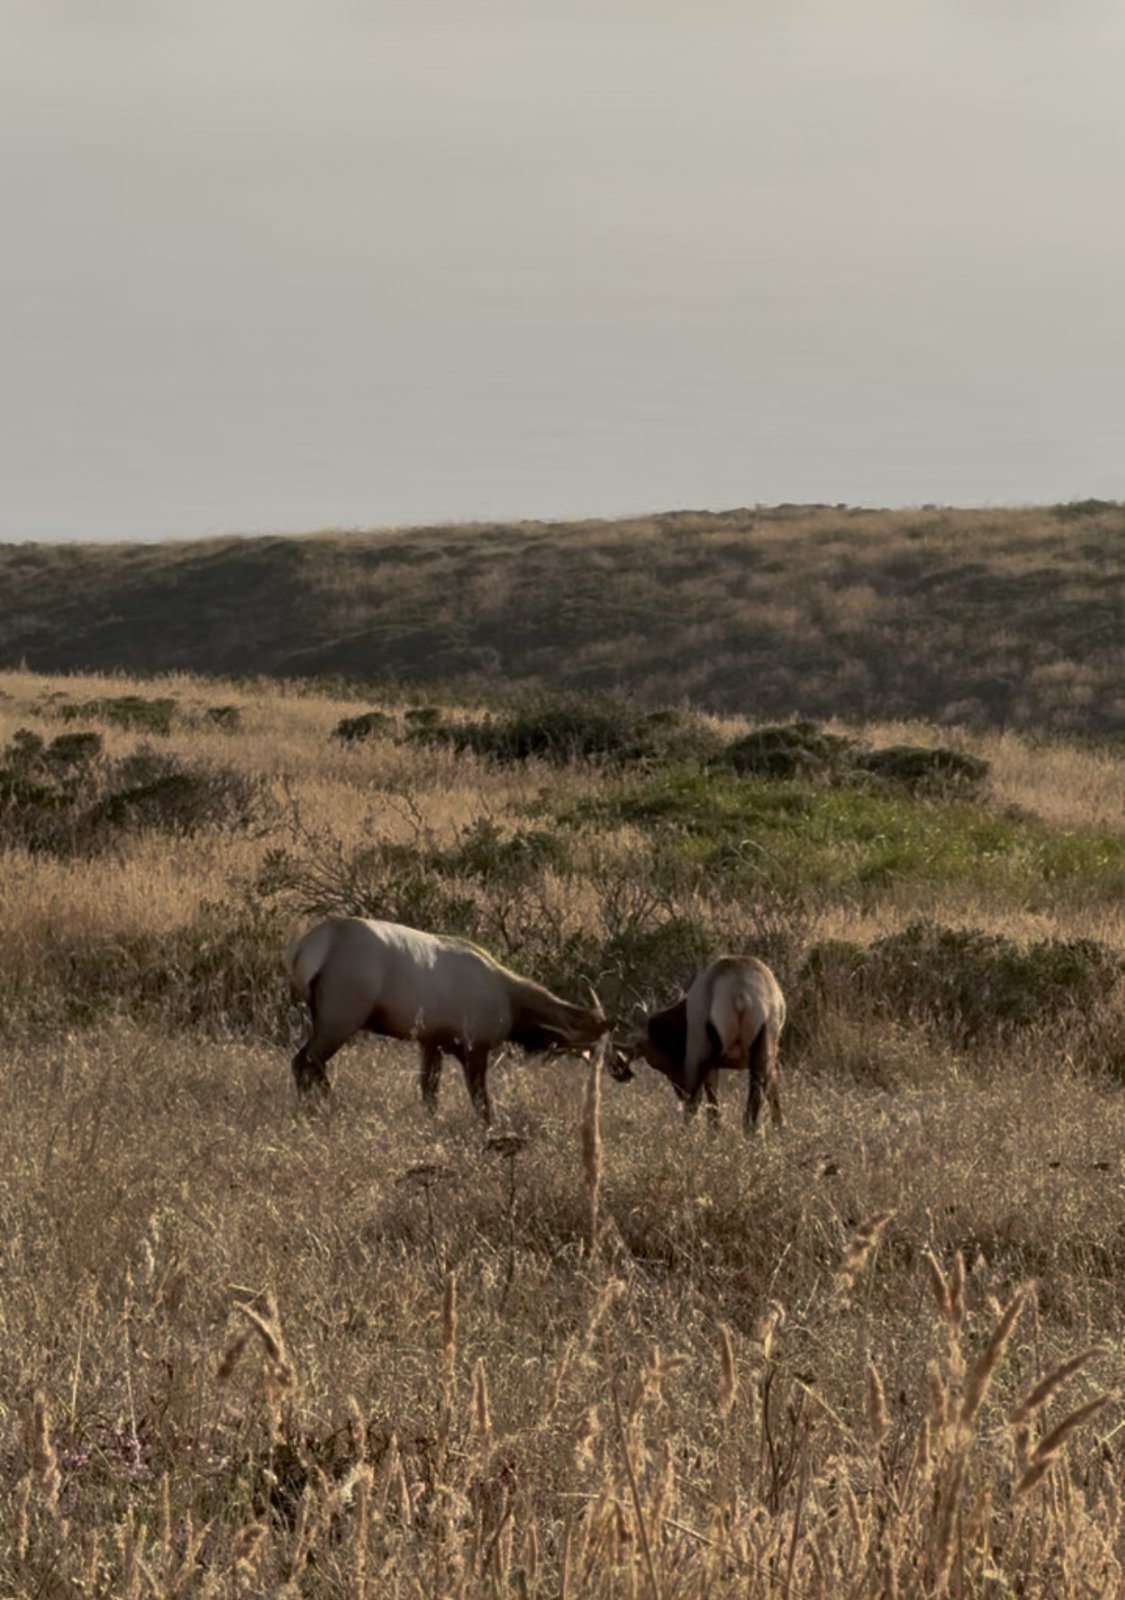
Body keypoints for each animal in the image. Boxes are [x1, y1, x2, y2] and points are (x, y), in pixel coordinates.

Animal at [287, 916, 609, 1124]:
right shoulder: (474, 1047)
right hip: (342, 1017)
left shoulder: (432, 1042)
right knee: (307, 1061)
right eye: (595, 1039)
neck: (512, 1004)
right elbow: (482, 1103)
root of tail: (306, 950)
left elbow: (429, 1093)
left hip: (325, 1018)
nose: (617, 1069)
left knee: (304, 1061)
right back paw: (323, 1107)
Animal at [610, 956, 785, 1133]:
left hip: (707, 1053)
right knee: (752, 1101)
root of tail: (741, 996)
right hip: (763, 1045)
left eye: (655, 1062)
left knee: (704, 1105)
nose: (681, 1091)